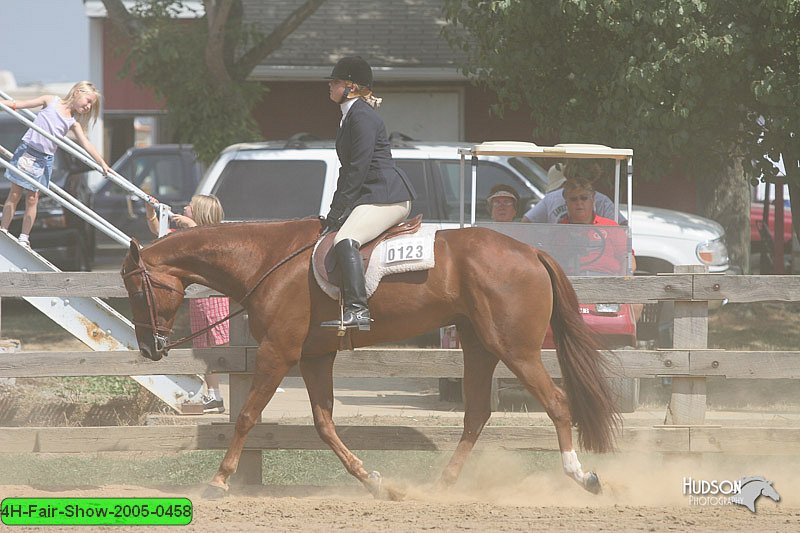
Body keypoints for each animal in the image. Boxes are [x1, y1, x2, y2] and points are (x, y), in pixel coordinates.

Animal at [120, 218, 620, 496]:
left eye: (136, 290)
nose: (149, 349)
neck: (268, 260)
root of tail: (531, 250)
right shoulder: (314, 358)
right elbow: (324, 425)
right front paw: (373, 480)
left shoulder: (278, 352)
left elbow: (246, 416)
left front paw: (219, 481)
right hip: (479, 345)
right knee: (477, 413)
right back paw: (442, 485)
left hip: (514, 348)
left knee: (557, 403)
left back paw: (583, 476)